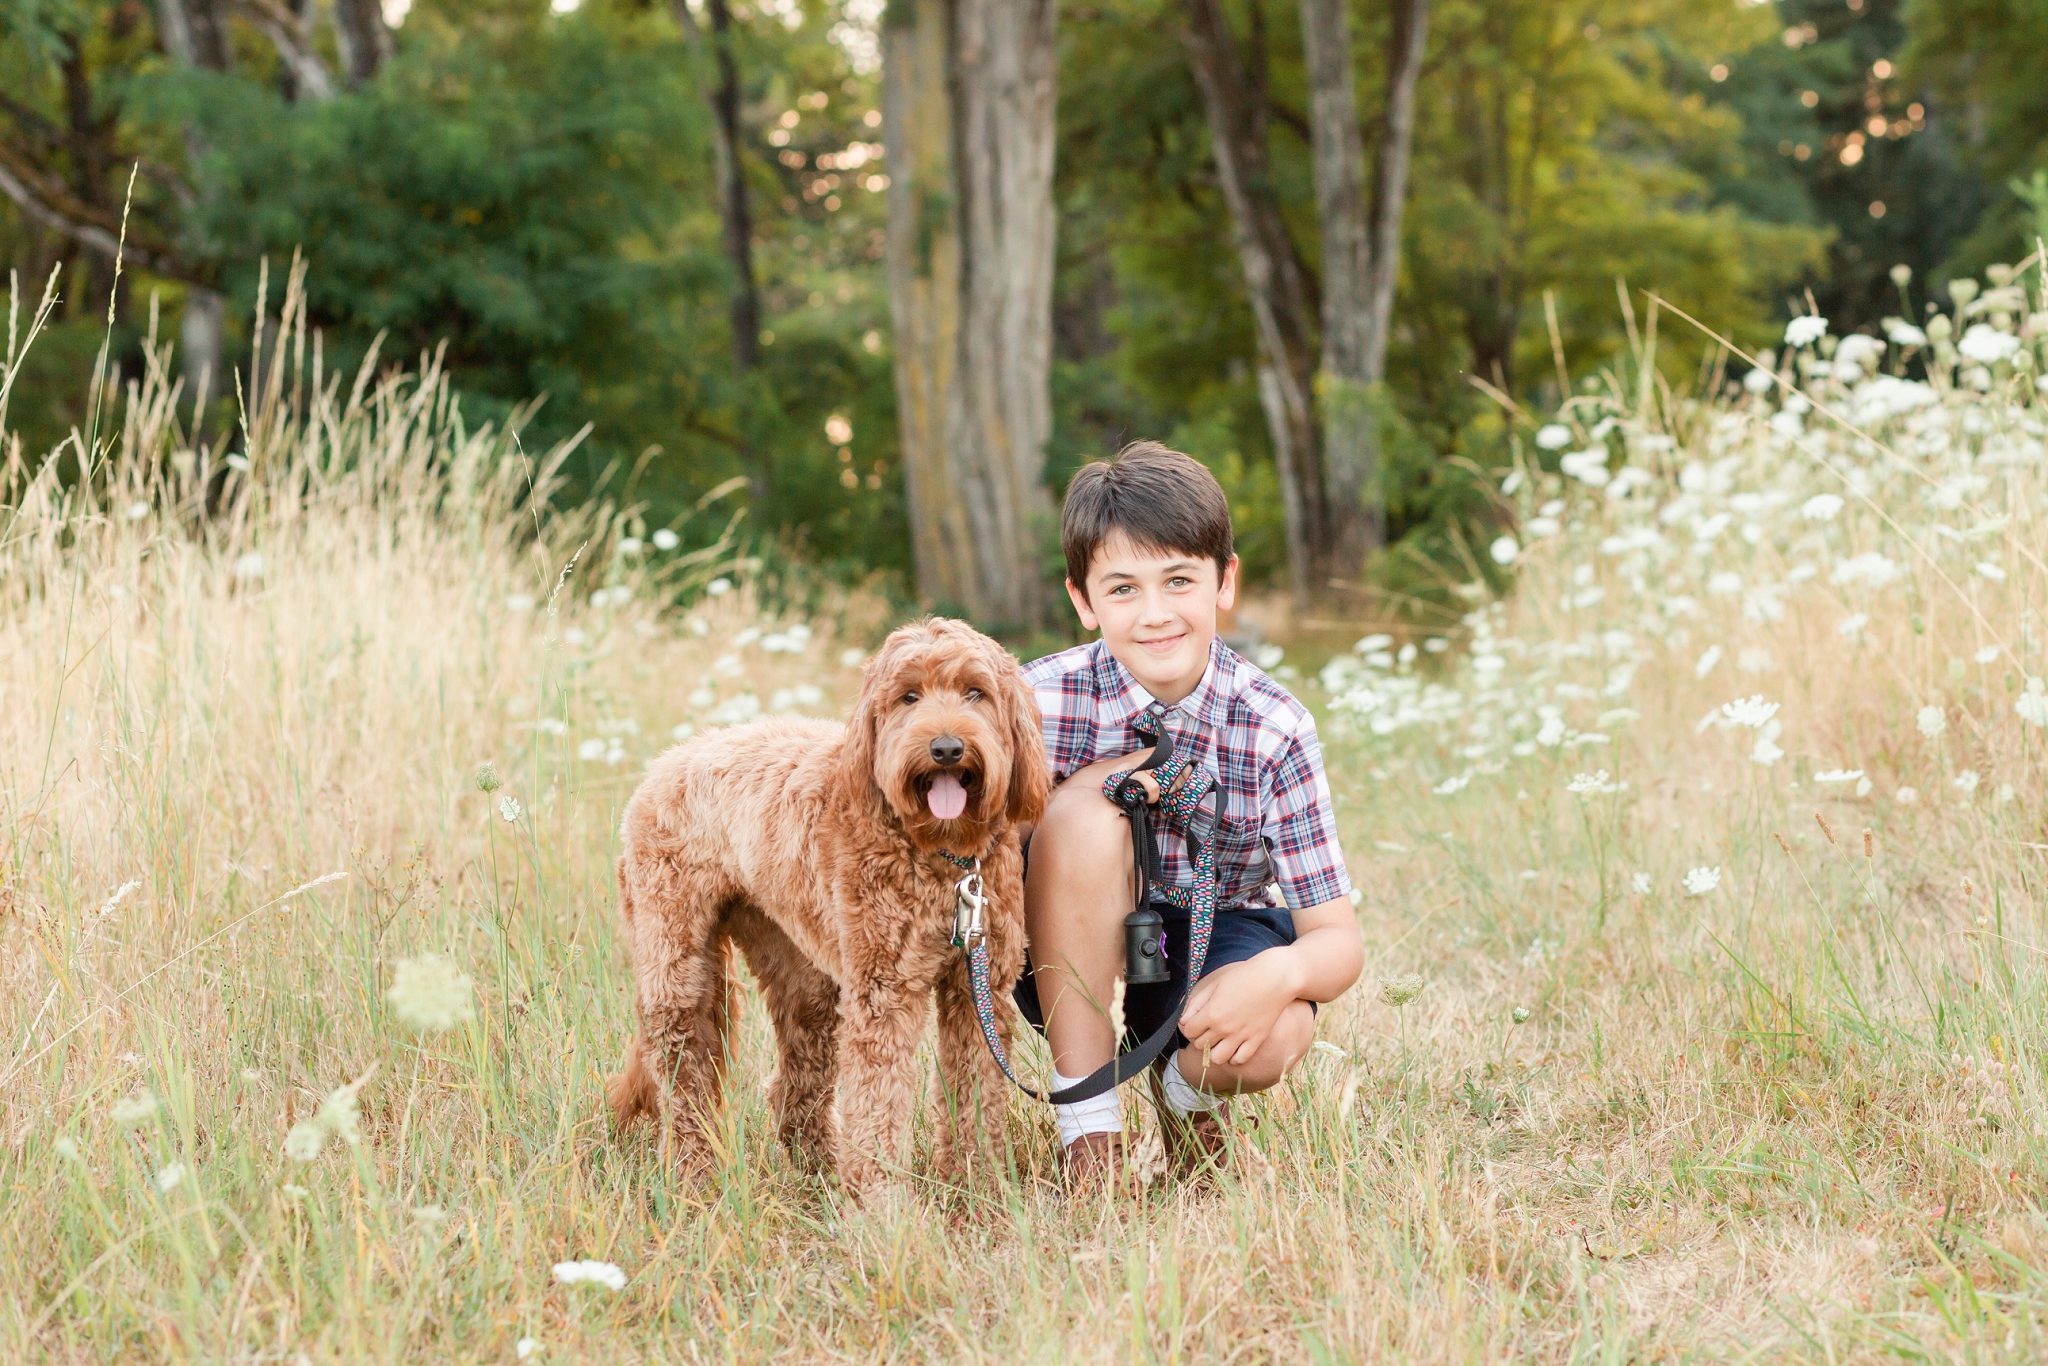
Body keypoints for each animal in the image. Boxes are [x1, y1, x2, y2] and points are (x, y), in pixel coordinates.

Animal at [593, 614, 1040, 1187]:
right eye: (909, 696)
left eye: (975, 692)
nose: (945, 748)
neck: (941, 855)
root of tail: (664, 764)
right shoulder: (884, 995)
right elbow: (879, 1108)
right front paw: (881, 1202)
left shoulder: (977, 987)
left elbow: (976, 1096)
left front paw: (978, 1188)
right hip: (675, 964)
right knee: (683, 1074)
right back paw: (698, 1176)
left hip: (801, 972)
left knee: (792, 1086)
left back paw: (820, 1174)